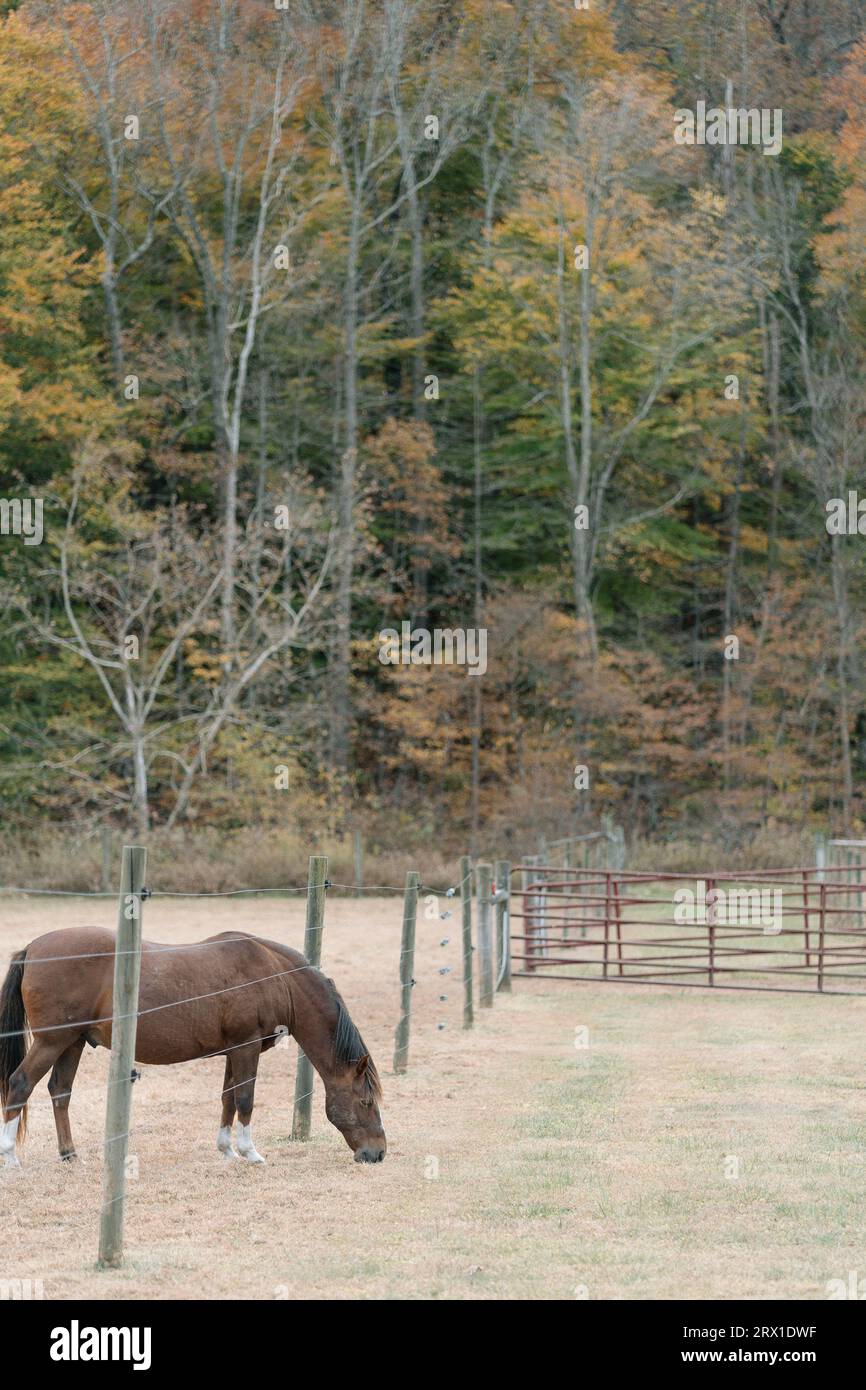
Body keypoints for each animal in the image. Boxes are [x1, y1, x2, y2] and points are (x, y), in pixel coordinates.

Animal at [0, 928, 386, 1167]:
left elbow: (228, 1098)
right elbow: (245, 1099)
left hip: (73, 1041)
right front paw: (250, 1152)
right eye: (366, 1102)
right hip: (52, 1041)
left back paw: (69, 1154)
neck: (273, 975)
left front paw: (227, 1151)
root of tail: (32, 949)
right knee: (21, 1084)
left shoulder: (234, 1050)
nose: (378, 1153)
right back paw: (11, 1156)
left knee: (60, 1091)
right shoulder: (246, 1048)